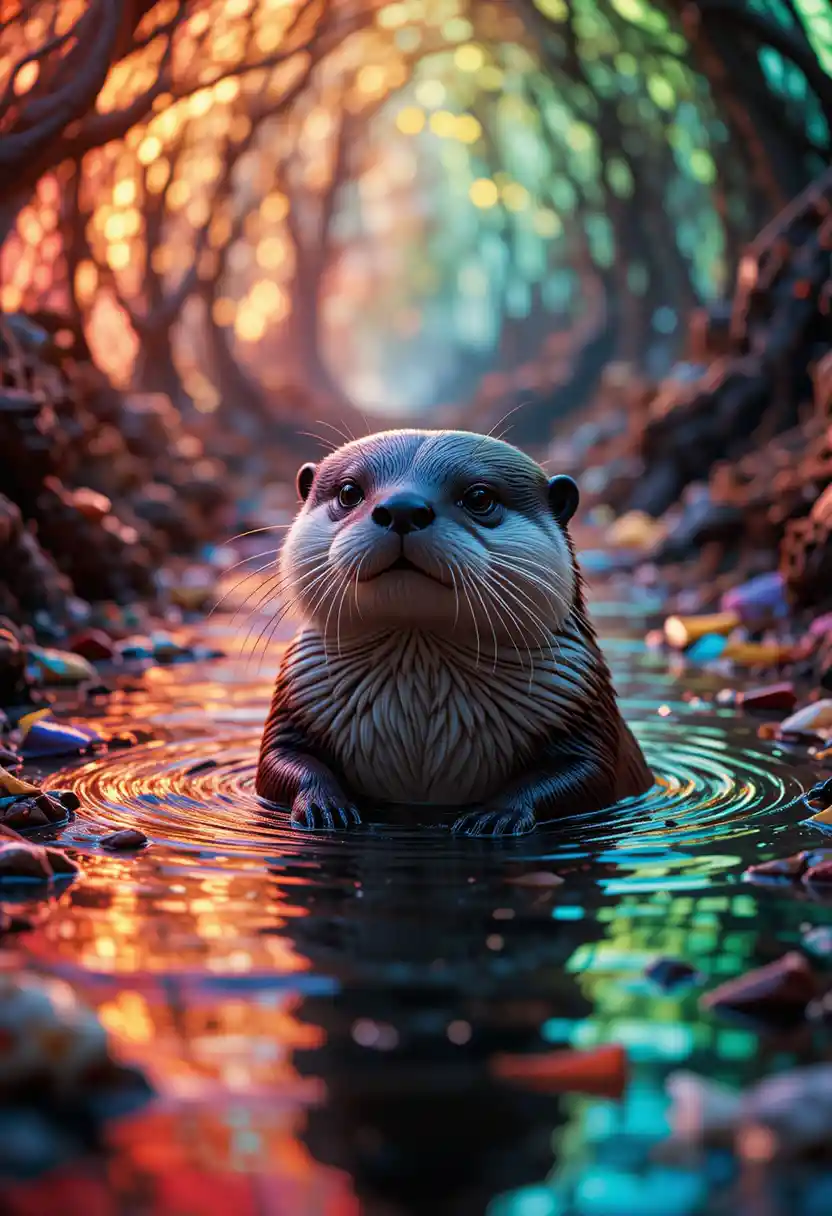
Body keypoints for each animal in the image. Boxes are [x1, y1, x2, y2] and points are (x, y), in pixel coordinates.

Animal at [256, 430, 652, 836]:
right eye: (349, 492)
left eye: (479, 497)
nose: (402, 508)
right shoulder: (295, 703)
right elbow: (279, 760)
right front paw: (324, 806)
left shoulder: (582, 711)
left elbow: (586, 772)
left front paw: (498, 815)